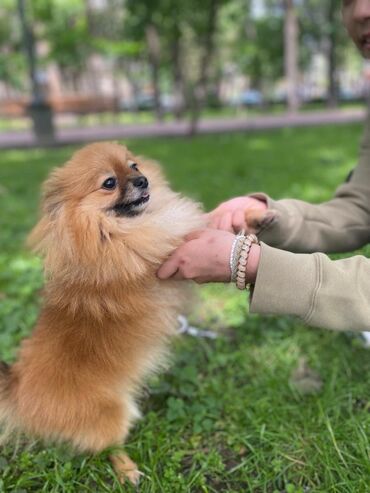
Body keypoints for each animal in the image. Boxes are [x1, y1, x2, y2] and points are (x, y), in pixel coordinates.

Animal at [0, 140, 204, 482]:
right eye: (109, 183)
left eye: (134, 165)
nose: (143, 181)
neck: (110, 231)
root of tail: (20, 389)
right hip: (111, 413)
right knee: (108, 447)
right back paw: (128, 470)